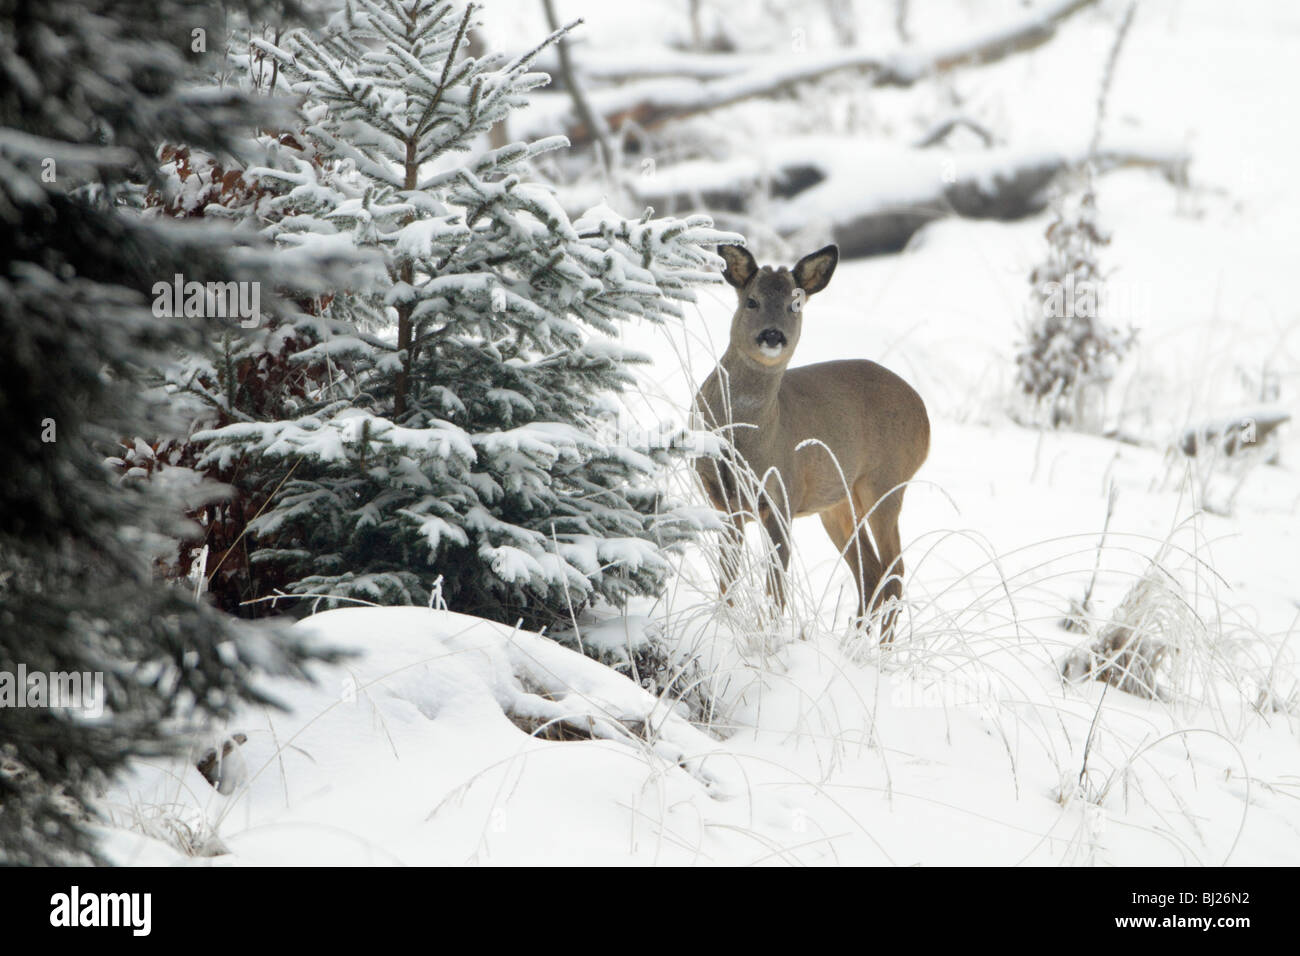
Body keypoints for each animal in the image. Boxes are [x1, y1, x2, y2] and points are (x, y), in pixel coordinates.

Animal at [696, 244, 930, 642]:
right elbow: (727, 577)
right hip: (837, 504)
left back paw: (879, 649)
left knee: (894, 572)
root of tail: (925, 416)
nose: (772, 335)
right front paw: (721, 623)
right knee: (871, 572)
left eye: (796, 304)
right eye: (752, 300)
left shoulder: (782, 495)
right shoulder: (724, 501)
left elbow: (775, 589)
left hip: (886, 482)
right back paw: (852, 642)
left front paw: (768, 637)